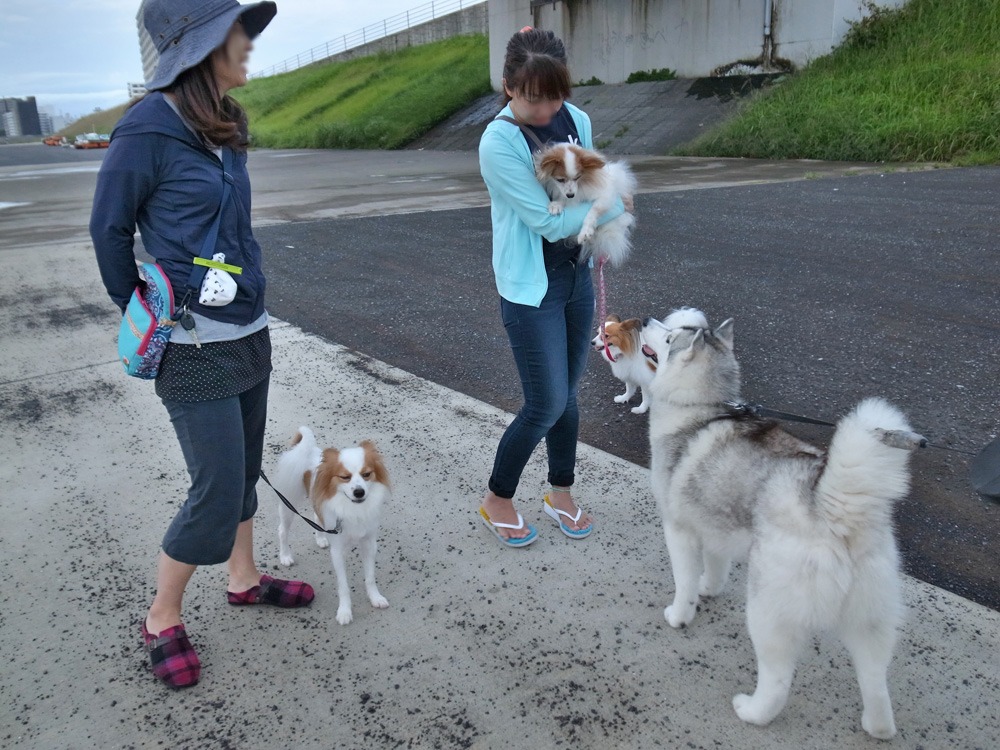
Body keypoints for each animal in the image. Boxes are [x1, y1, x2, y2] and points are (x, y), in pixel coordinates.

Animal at [278, 428, 394, 628]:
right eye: (345, 477)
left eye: (366, 474)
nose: (359, 492)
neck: (352, 507)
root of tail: (305, 450)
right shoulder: (338, 551)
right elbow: (344, 586)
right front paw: (344, 612)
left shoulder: (369, 543)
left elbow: (370, 577)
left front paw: (375, 598)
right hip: (288, 503)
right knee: (282, 531)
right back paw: (285, 556)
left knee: (316, 517)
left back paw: (321, 539)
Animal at [644, 312, 916, 740]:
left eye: (670, 337)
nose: (644, 319)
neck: (702, 407)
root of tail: (831, 507)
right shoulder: (715, 524)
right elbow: (716, 566)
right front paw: (710, 588)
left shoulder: (678, 529)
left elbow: (684, 583)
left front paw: (680, 614)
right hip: (870, 621)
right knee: (875, 680)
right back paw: (877, 726)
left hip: (767, 614)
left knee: (777, 680)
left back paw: (753, 711)